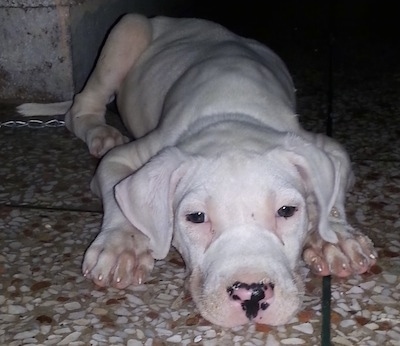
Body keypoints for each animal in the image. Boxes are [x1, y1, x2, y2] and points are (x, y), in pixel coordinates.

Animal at [17, 13, 376, 328]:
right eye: (196, 218)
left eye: (287, 211)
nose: (252, 294)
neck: (231, 112)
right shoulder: (126, 158)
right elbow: (116, 196)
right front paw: (122, 246)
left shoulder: (324, 147)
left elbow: (331, 194)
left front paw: (335, 237)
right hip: (127, 31)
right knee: (80, 107)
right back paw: (100, 133)